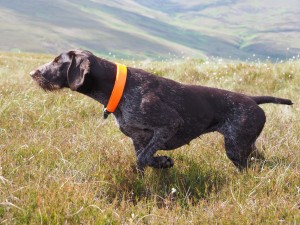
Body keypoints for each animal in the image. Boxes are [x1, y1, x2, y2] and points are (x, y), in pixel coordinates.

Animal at [30, 49, 292, 172]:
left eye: (58, 61)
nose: (33, 73)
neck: (119, 88)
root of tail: (252, 99)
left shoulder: (169, 125)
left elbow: (146, 157)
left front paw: (164, 162)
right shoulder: (138, 139)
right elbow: (141, 161)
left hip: (236, 148)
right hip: (246, 145)